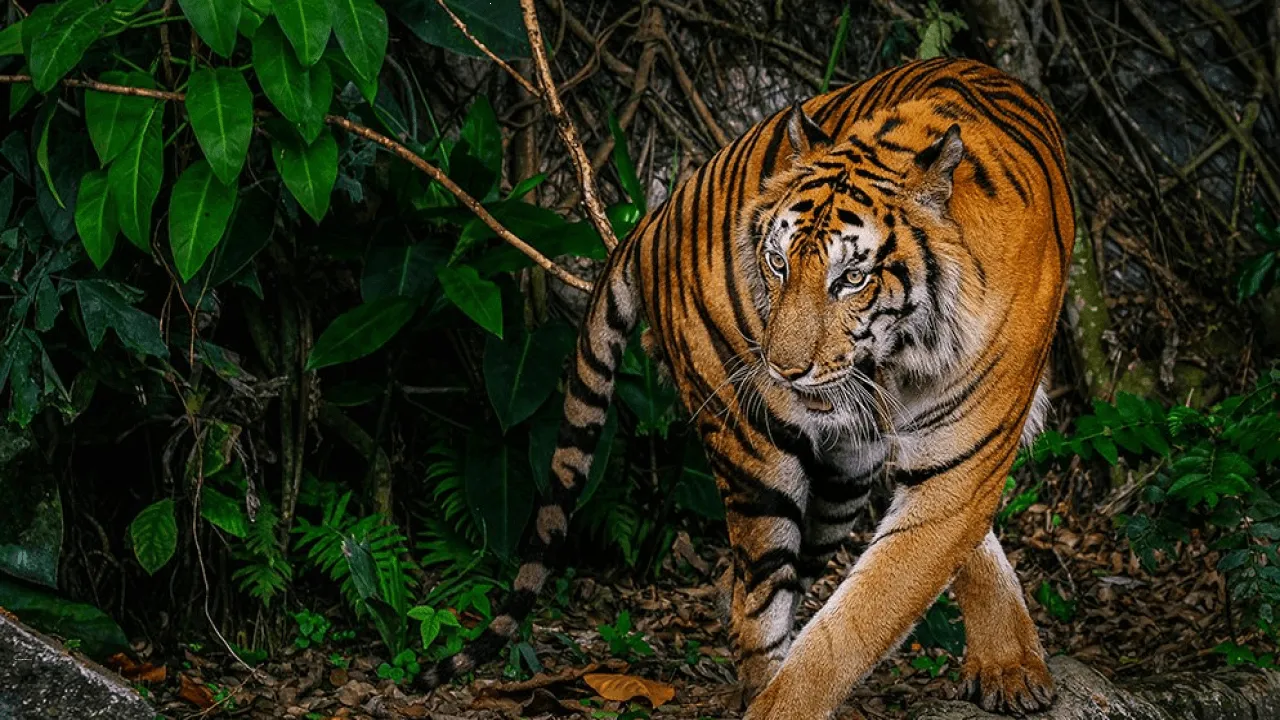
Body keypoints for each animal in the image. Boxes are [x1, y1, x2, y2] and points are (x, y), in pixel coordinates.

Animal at [421, 57, 1075, 720]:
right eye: (778, 263)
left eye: (853, 278)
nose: (783, 370)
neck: (903, 358)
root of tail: (658, 213)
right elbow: (854, 617)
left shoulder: (960, 467)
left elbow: (860, 616)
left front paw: (1008, 667)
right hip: (753, 446)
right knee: (757, 600)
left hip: (843, 482)